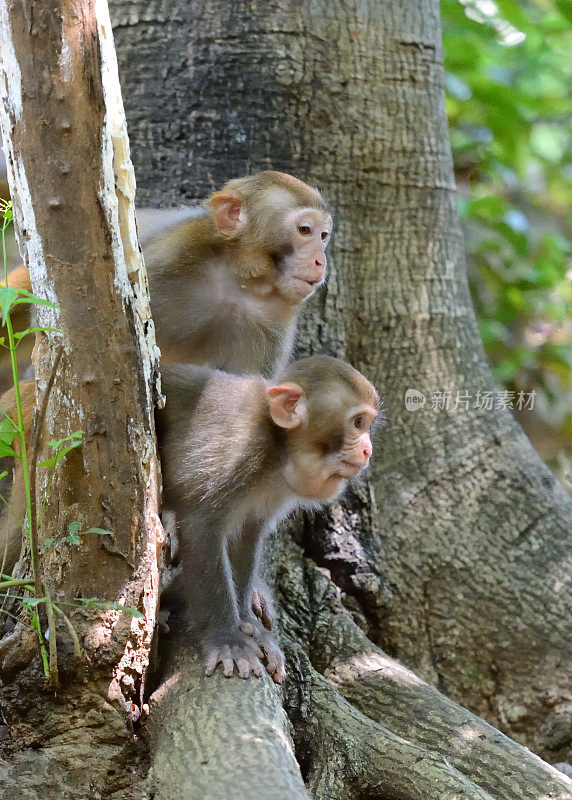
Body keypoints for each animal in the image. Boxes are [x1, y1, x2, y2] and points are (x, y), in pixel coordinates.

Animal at [0, 170, 332, 384]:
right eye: (305, 230)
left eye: (324, 236)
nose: (320, 261)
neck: (240, 280)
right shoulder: (169, 257)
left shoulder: (273, 324)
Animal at [156, 356, 380, 680]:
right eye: (358, 423)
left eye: (367, 424)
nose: (367, 450)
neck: (279, 447)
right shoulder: (239, 453)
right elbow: (201, 528)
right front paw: (228, 640)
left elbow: (246, 535)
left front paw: (249, 624)